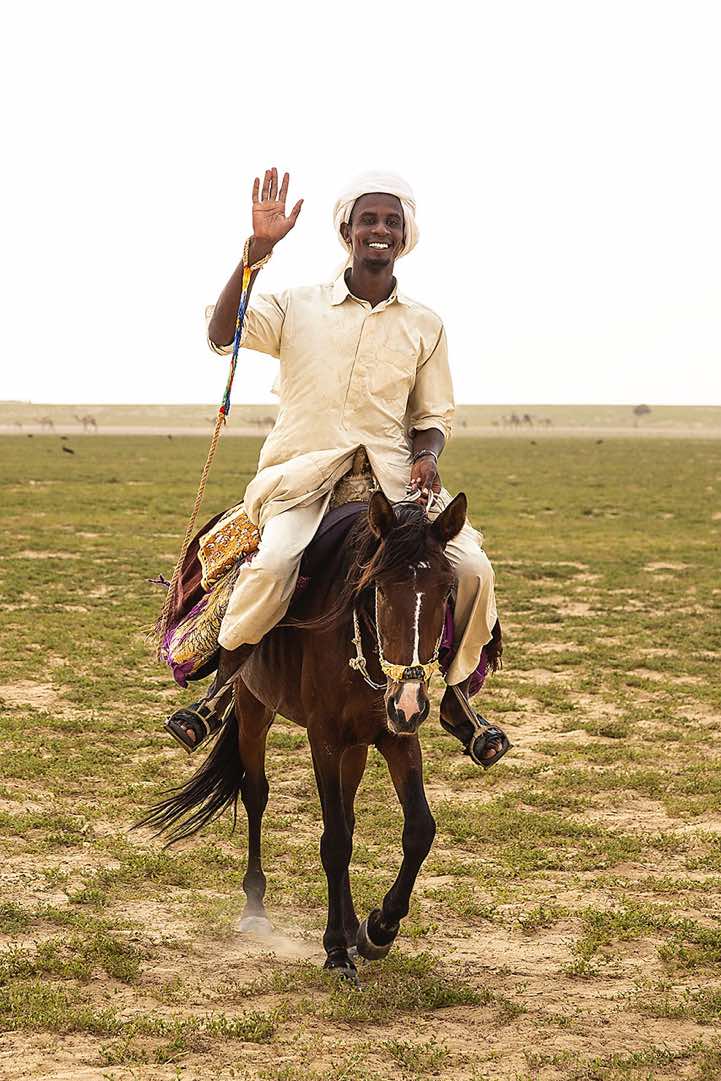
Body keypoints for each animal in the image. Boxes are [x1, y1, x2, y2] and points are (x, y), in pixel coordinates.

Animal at [140, 489, 468, 983]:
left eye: (447, 590)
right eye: (377, 587)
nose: (410, 701)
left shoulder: (395, 736)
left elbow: (418, 830)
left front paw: (377, 929)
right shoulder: (324, 737)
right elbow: (334, 841)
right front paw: (336, 951)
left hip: (357, 745)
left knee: (348, 814)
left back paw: (352, 925)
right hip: (255, 709)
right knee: (255, 793)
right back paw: (256, 907)